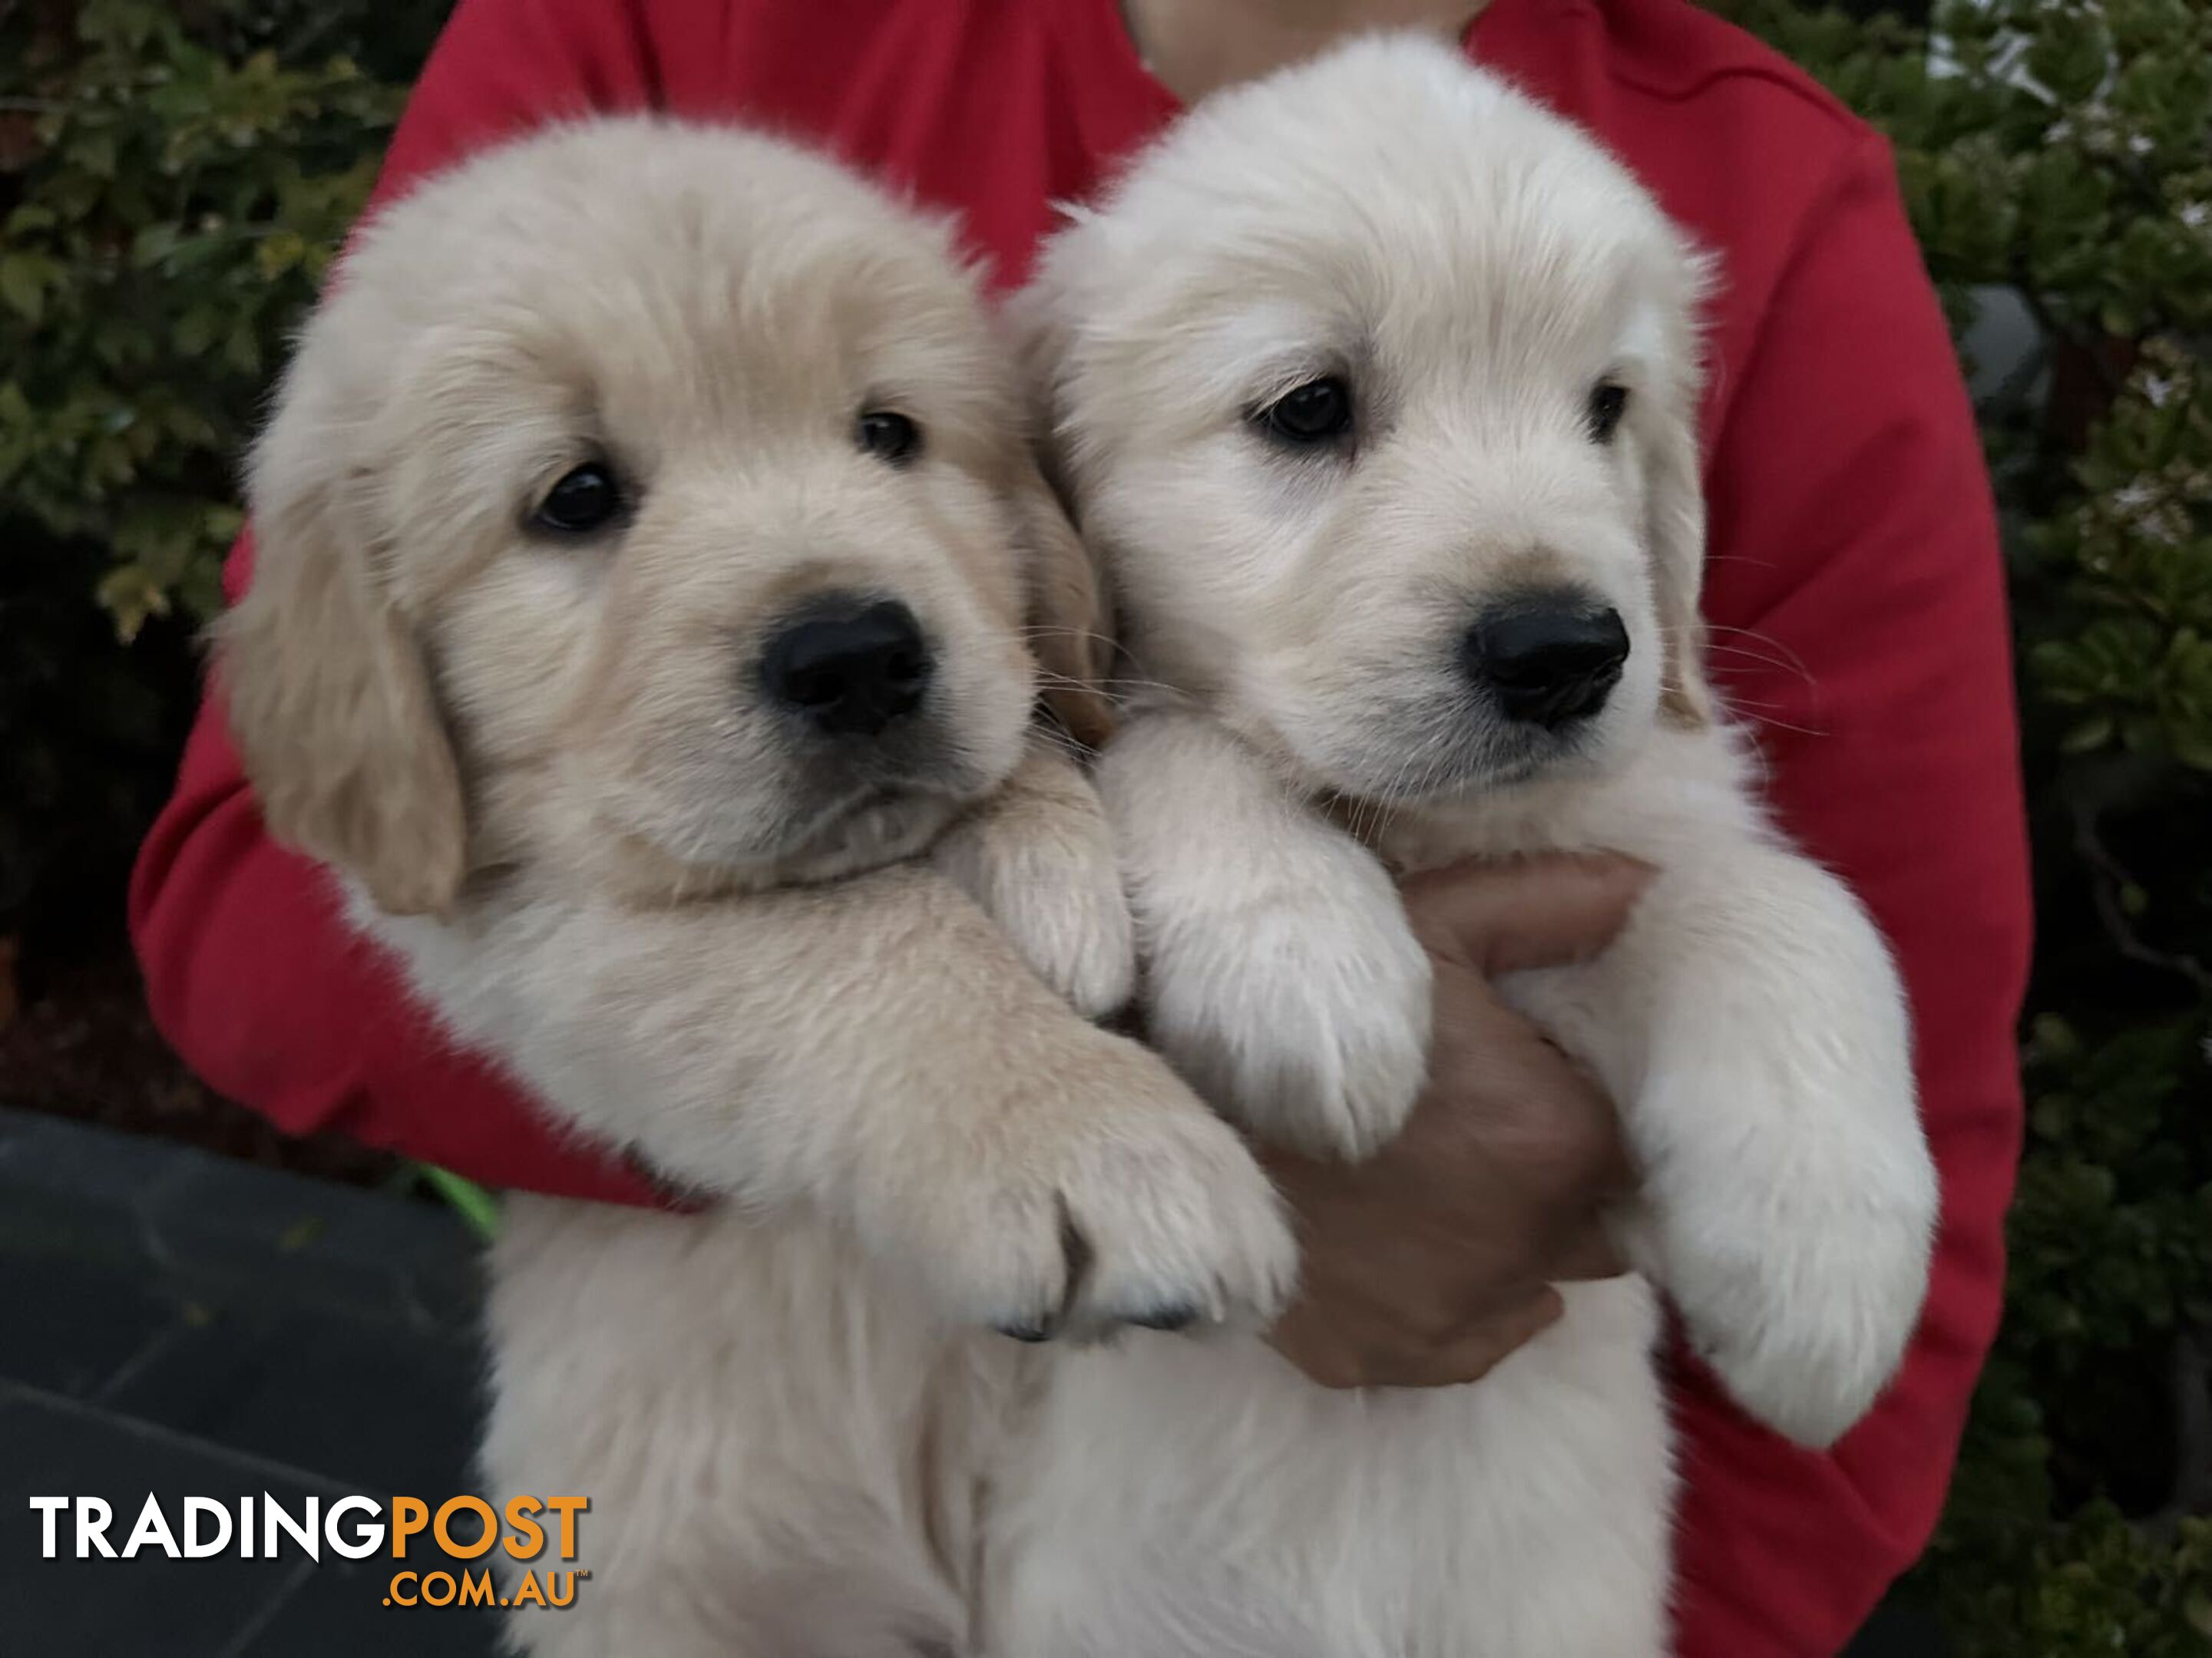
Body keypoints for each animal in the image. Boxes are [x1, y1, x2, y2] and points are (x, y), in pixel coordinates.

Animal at [213, 123, 1291, 1658]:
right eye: (577, 498)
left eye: (889, 433)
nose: (855, 657)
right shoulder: (506, 915)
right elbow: (836, 933)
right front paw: (1089, 1138)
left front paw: (1050, 857)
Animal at [1013, 35, 1946, 1658]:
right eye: (1308, 407)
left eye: (1607, 407)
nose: (1567, 652)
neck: (1414, 832)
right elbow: (1161, 738)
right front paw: (1302, 968)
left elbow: (1789, 904)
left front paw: (1824, 1256)